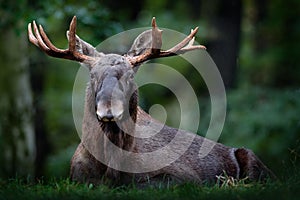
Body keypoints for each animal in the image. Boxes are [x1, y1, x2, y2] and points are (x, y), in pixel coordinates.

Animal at [28, 16, 274, 186]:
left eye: (130, 76)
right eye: (92, 75)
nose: (108, 110)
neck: (112, 167)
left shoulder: (186, 177)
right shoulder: (75, 176)